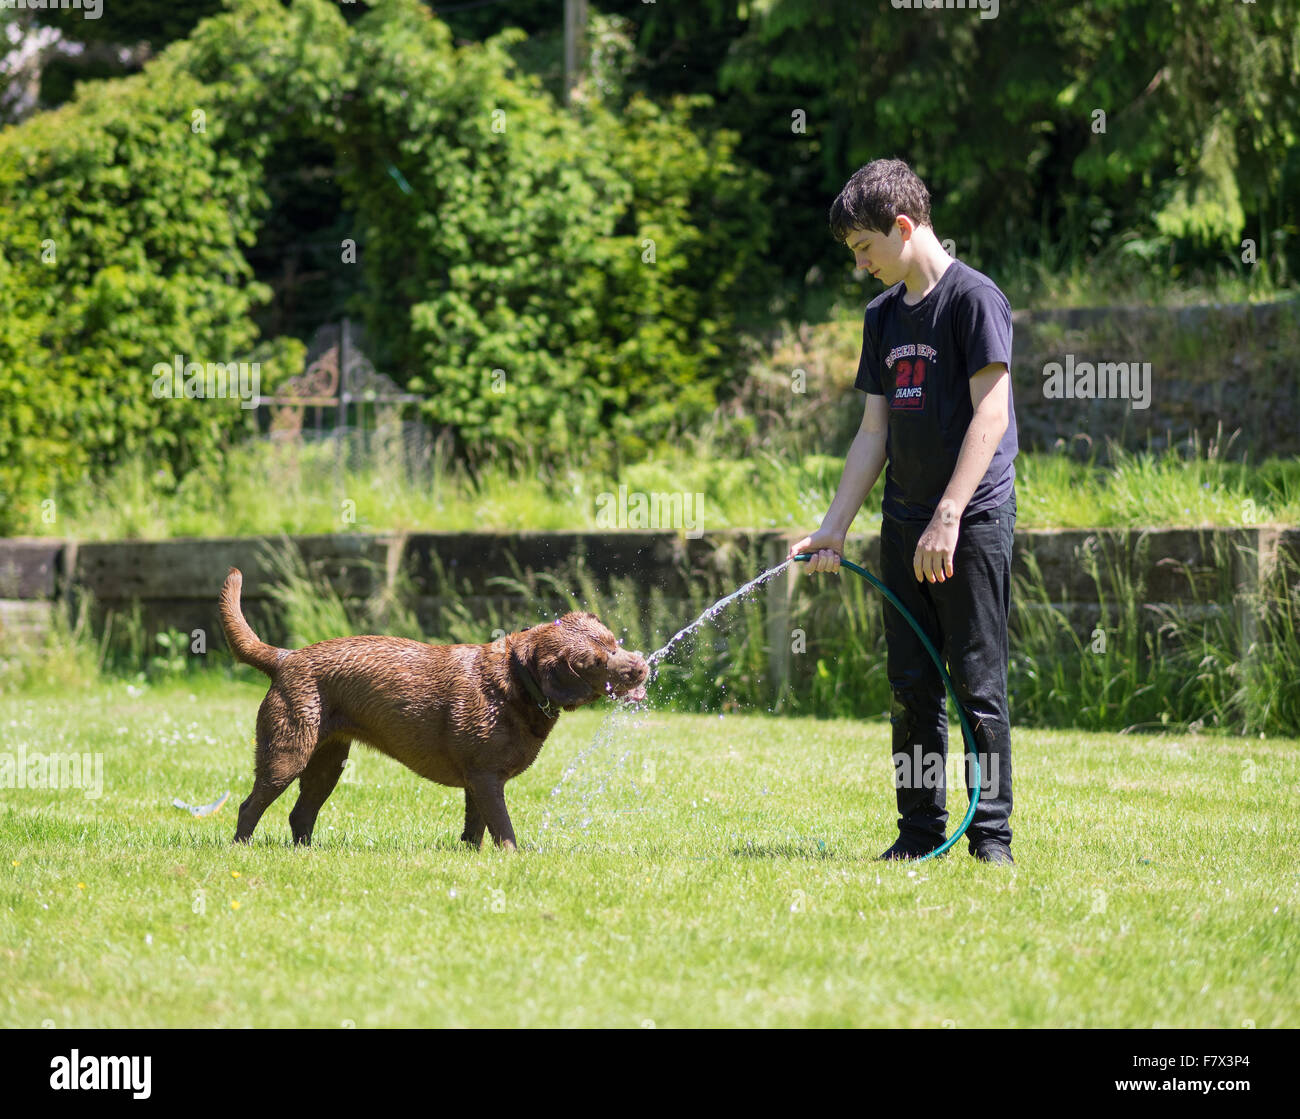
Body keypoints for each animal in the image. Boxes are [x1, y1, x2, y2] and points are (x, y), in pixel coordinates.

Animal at [223, 566, 655, 847]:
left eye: (614, 642)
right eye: (595, 662)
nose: (640, 666)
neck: (516, 681)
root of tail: (285, 657)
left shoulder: (478, 780)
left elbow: (475, 830)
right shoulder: (486, 778)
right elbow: (504, 830)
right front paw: (514, 858)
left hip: (328, 761)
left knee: (301, 812)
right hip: (287, 752)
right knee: (249, 805)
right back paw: (241, 848)